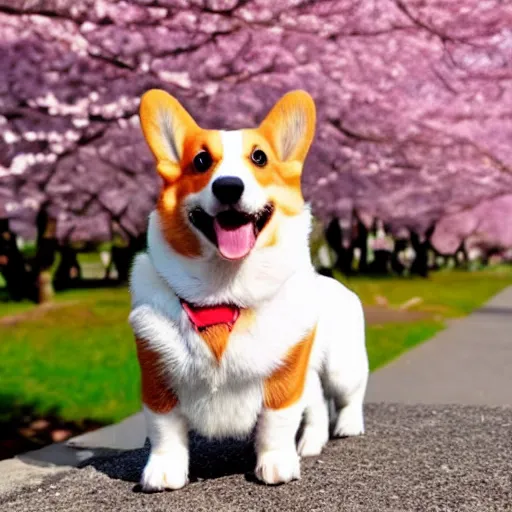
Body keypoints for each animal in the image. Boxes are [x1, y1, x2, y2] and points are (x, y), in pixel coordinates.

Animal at [128, 89, 368, 492]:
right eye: (201, 161)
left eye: (259, 158)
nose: (228, 186)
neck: (224, 293)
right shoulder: (157, 374)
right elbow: (164, 429)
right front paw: (163, 472)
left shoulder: (285, 374)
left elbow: (277, 421)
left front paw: (275, 464)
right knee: (317, 405)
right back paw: (310, 443)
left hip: (341, 365)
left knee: (348, 395)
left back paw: (347, 427)